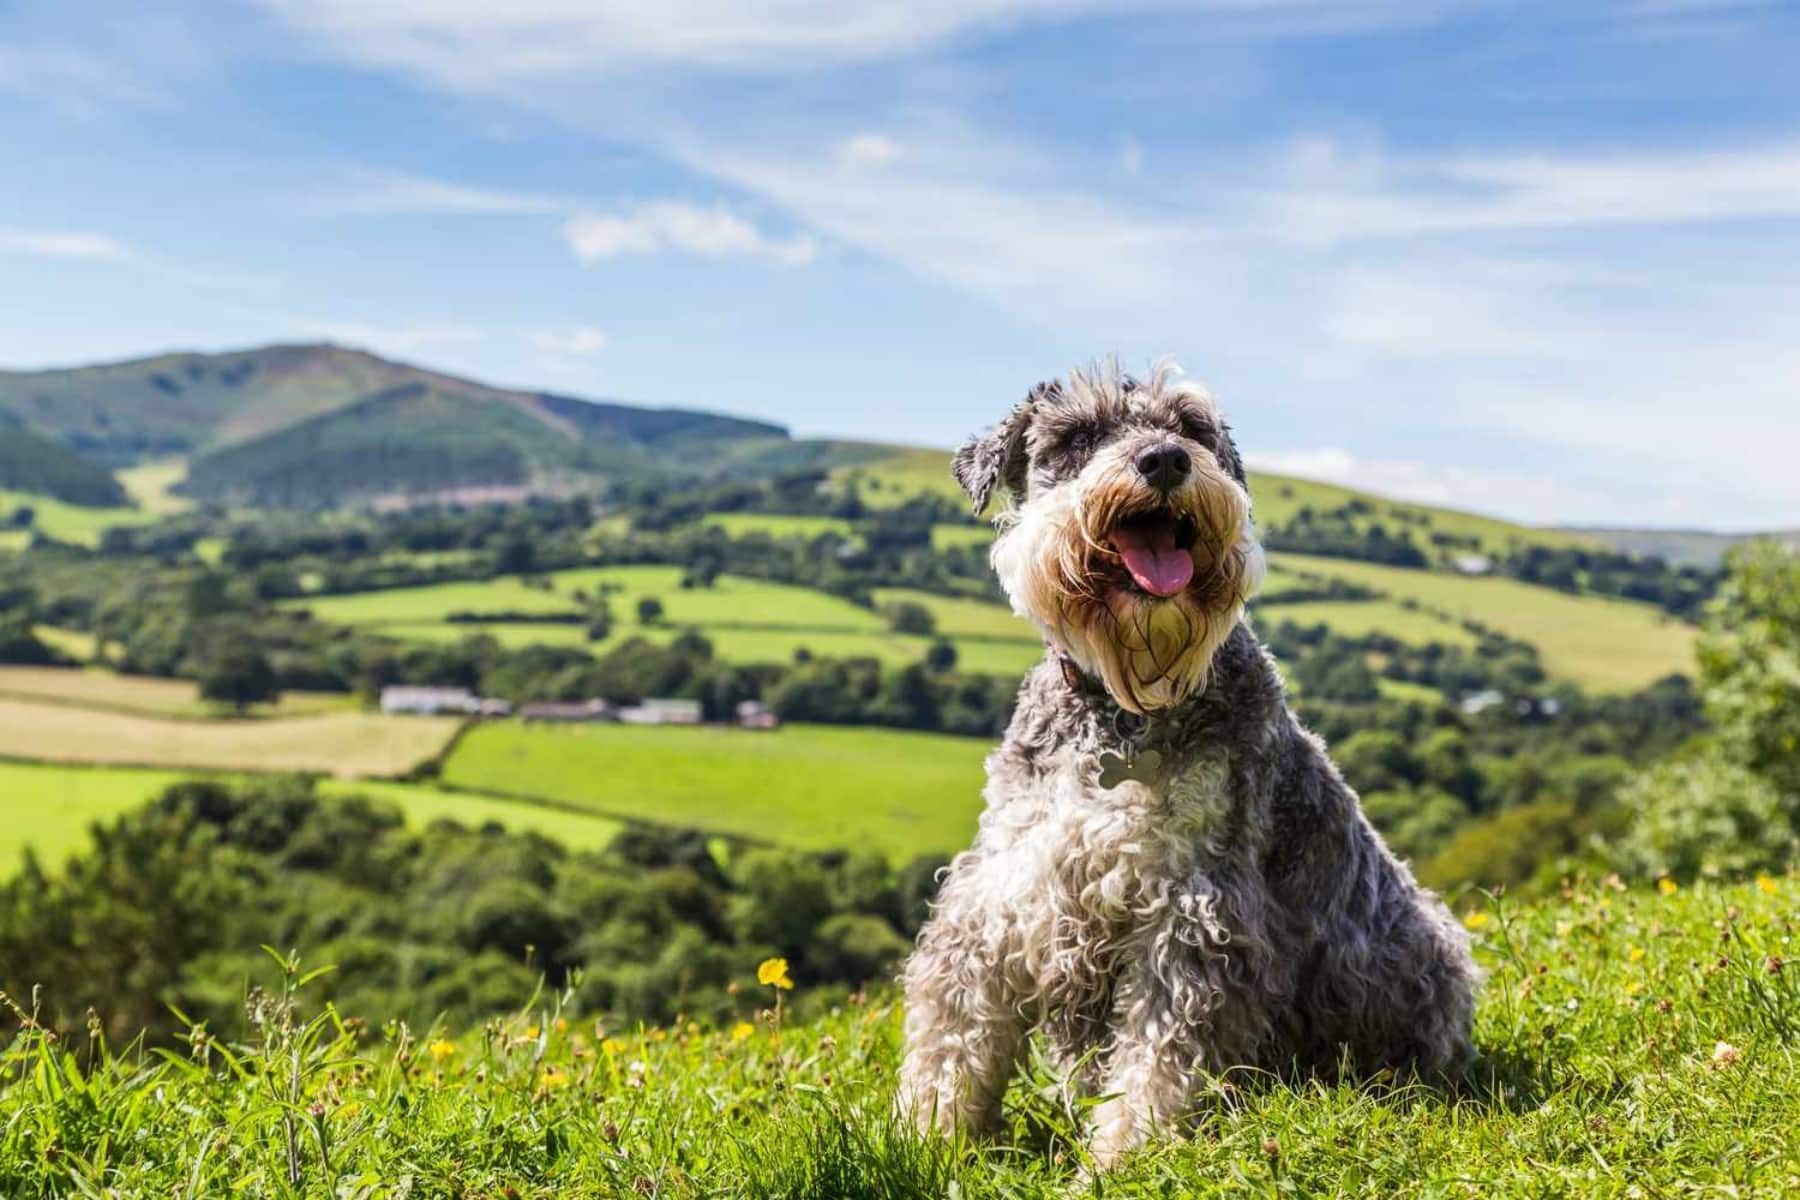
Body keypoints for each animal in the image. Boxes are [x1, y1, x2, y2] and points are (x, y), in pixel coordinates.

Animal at [900, 361, 1476, 1165]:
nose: (1166, 460)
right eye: (1078, 435)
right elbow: (953, 1033)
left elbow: (1159, 1058)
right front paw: (926, 1138)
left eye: (1192, 428)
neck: (1123, 713)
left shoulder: (1194, 912)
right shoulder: (1000, 893)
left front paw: (1121, 1158)